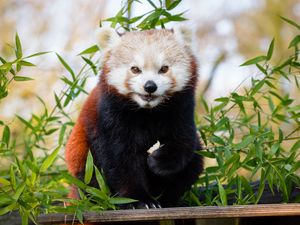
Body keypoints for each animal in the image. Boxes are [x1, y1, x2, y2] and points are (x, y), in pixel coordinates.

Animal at [64, 27, 203, 208]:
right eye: (135, 69)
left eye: (164, 68)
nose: (150, 86)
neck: (148, 111)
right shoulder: (110, 115)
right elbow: (120, 159)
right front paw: (139, 200)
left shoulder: (182, 109)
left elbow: (184, 143)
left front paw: (158, 161)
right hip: (83, 159)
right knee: (90, 178)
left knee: (194, 163)